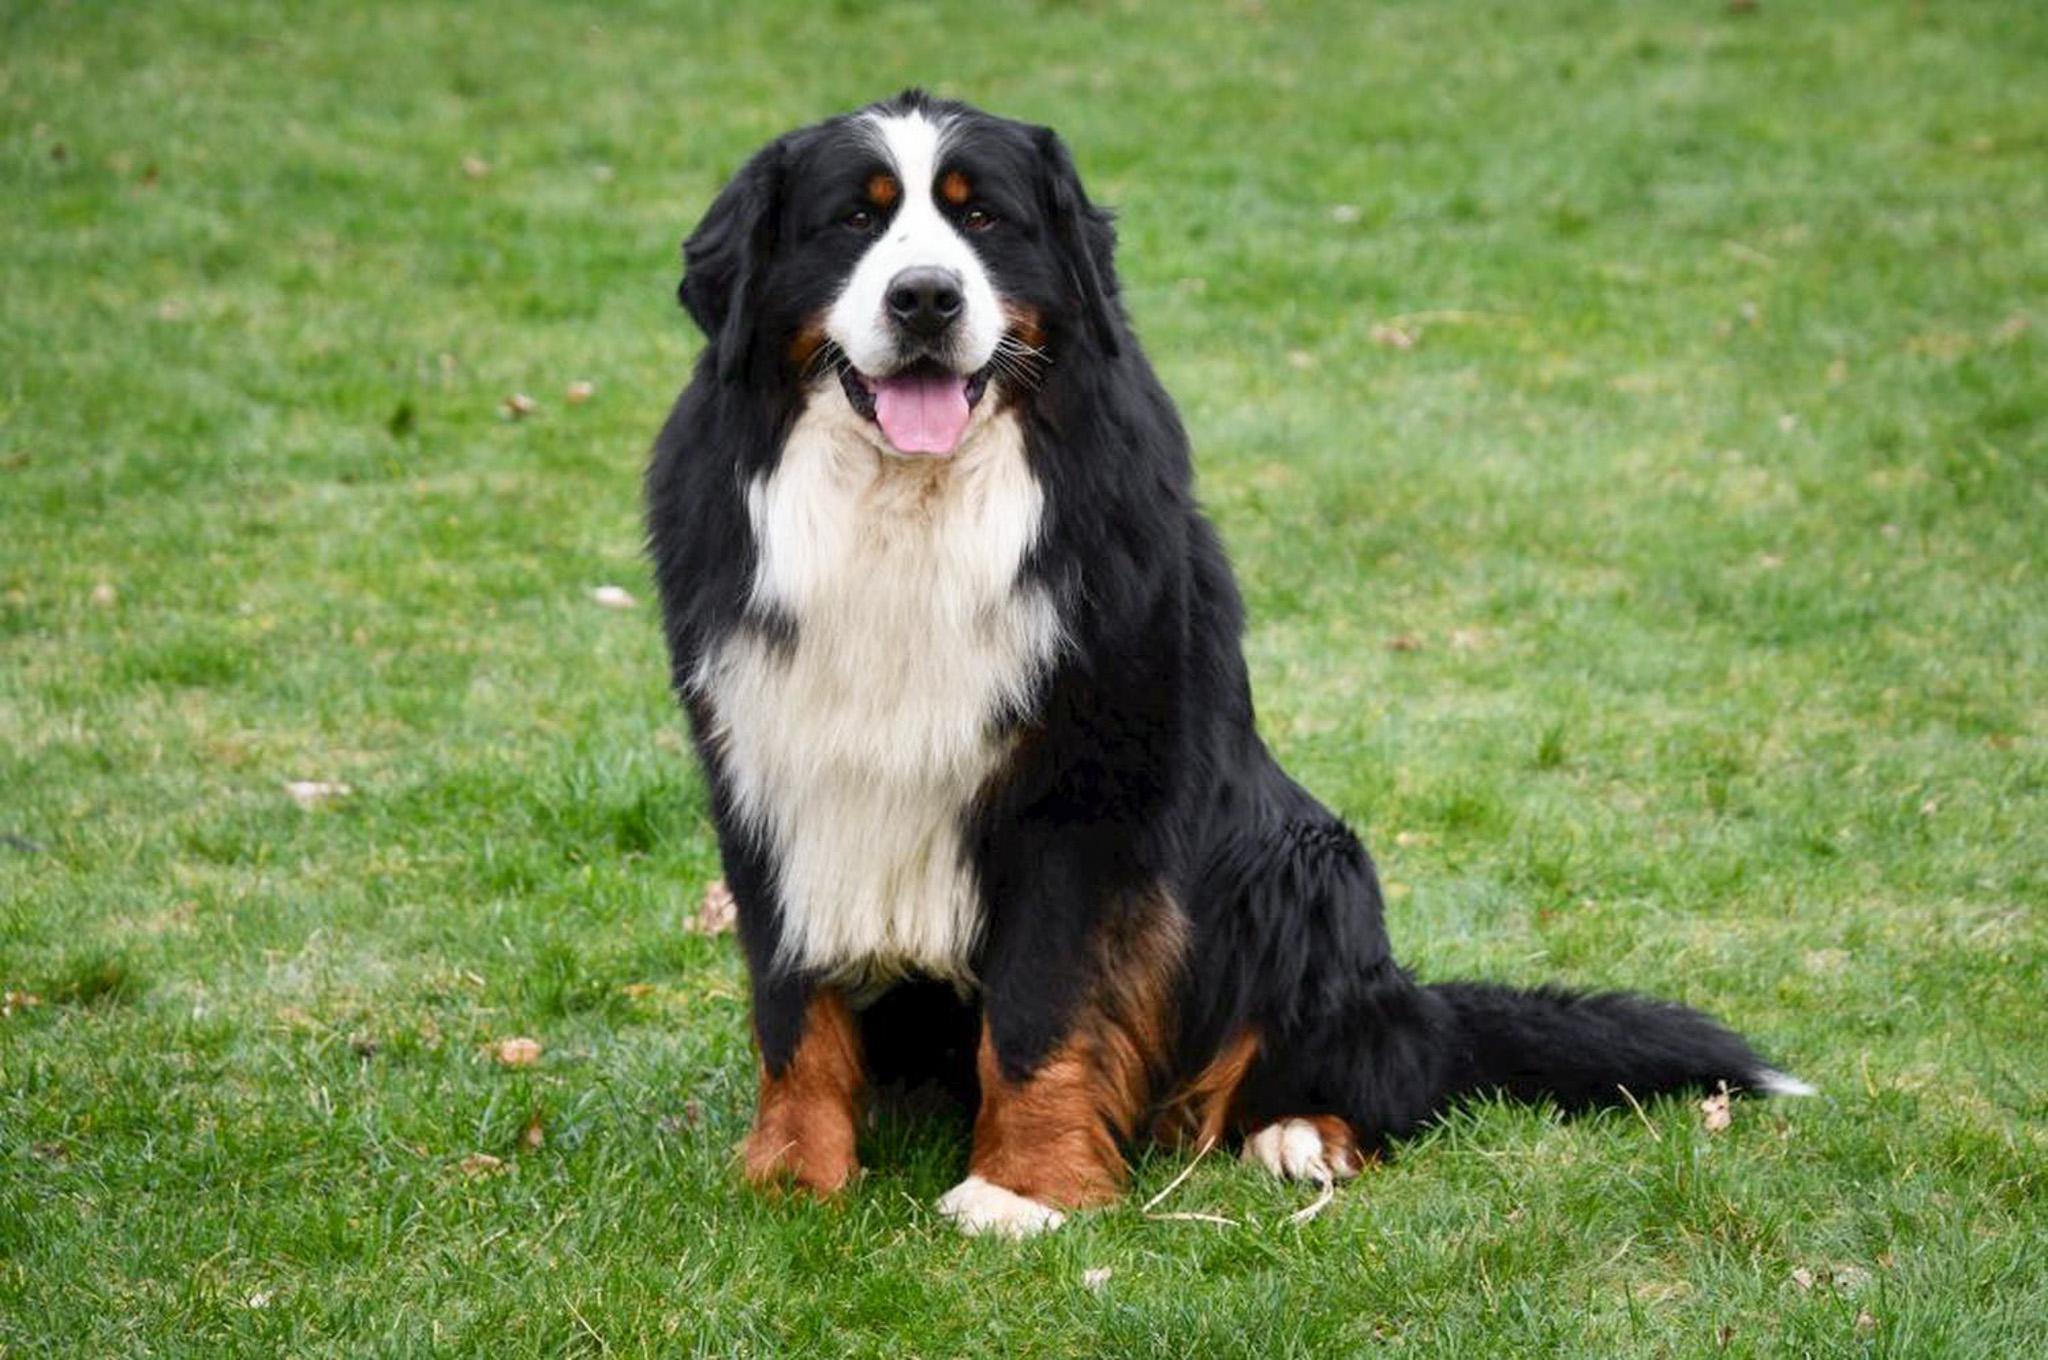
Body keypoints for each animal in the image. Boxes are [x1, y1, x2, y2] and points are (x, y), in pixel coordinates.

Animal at [643, 90, 1810, 1237]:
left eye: (984, 220)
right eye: (853, 219)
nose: (925, 298)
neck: (907, 514)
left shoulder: (1082, 790)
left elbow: (1040, 1004)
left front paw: (1023, 1188)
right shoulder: (769, 767)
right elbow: (791, 1005)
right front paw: (792, 1175)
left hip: (1297, 859)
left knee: (1378, 1072)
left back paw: (1298, 1135)